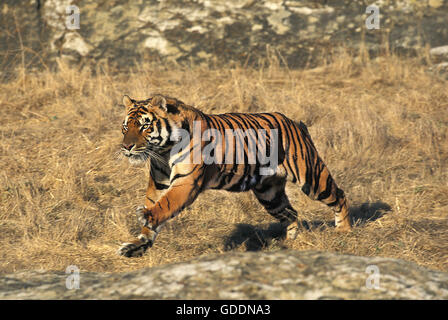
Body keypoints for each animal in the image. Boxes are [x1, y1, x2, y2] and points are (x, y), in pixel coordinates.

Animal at [117, 94, 352, 256]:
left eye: (145, 126)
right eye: (125, 127)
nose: (126, 147)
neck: (163, 151)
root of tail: (294, 122)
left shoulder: (186, 183)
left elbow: (165, 205)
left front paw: (146, 217)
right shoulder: (158, 183)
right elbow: (154, 207)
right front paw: (136, 245)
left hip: (311, 177)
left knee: (339, 195)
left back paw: (344, 232)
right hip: (270, 194)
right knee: (291, 213)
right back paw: (290, 241)